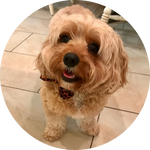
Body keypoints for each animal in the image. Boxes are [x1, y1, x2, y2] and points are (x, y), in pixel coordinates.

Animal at [35, 4, 129, 141]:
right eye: (65, 38)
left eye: (94, 47)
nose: (70, 58)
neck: (74, 91)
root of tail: (74, 4)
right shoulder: (51, 105)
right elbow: (55, 121)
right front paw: (53, 132)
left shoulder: (92, 109)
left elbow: (87, 119)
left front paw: (89, 128)